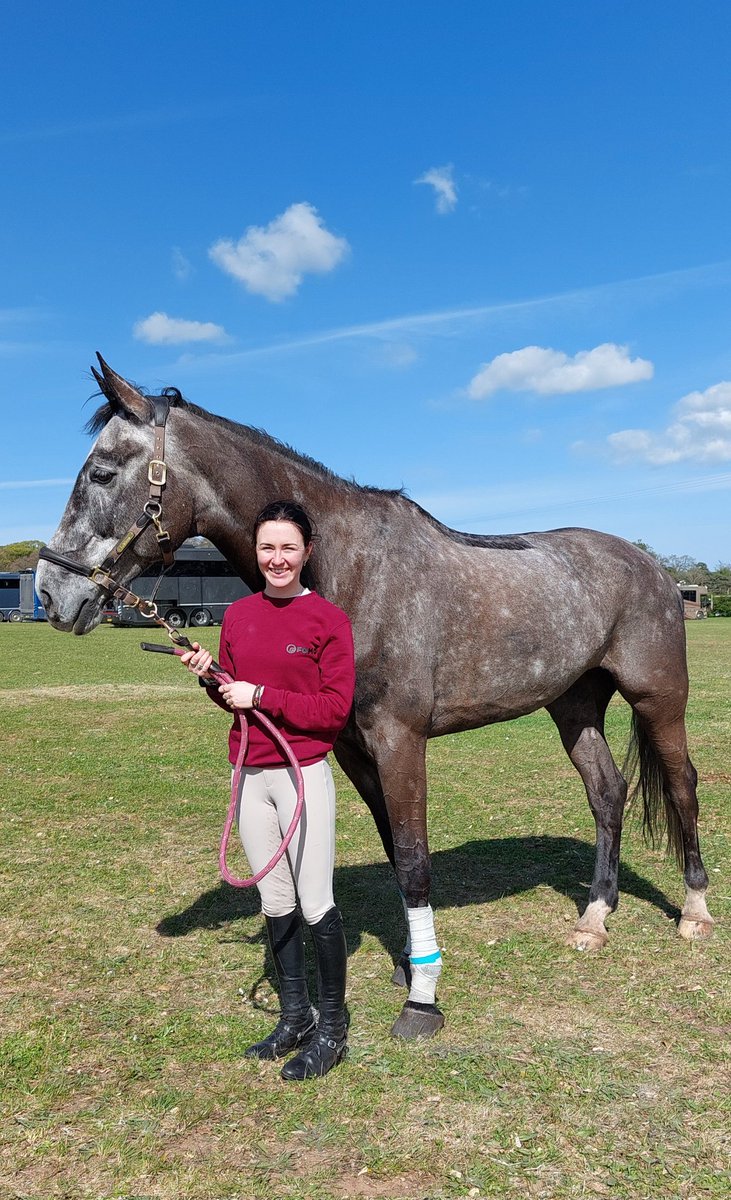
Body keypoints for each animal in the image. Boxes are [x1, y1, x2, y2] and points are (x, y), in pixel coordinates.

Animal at [36, 356, 714, 1040]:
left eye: (100, 471)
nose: (50, 593)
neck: (351, 571)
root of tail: (652, 567)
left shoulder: (400, 739)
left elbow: (414, 859)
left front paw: (422, 999)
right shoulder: (354, 750)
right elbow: (394, 850)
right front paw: (408, 962)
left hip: (659, 699)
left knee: (683, 784)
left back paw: (694, 910)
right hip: (573, 705)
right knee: (607, 792)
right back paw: (595, 917)